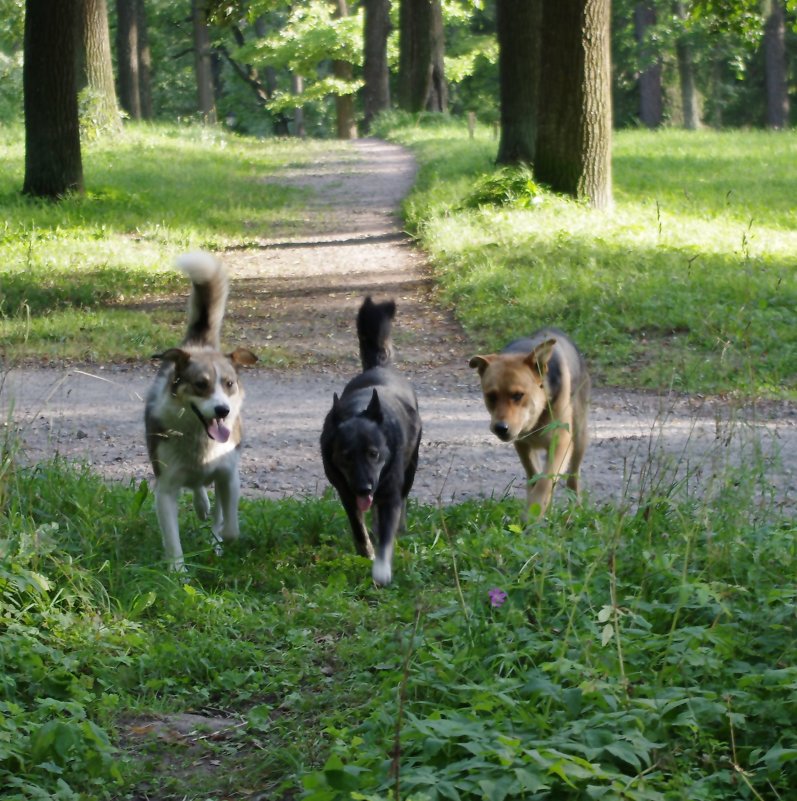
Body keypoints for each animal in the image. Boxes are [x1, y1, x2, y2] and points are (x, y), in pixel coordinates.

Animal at [143, 252, 255, 568]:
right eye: (200, 385)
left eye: (228, 384)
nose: (222, 411)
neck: (200, 441)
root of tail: (198, 345)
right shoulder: (165, 488)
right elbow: (173, 543)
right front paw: (178, 572)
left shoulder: (229, 476)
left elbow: (229, 526)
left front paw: (220, 541)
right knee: (197, 488)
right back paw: (201, 503)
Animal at [322, 296, 426, 584]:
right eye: (346, 456)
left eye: (374, 453)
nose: (365, 488)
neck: (358, 411)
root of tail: (379, 367)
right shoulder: (345, 491)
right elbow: (358, 527)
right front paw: (365, 551)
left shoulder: (388, 492)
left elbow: (387, 535)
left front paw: (381, 568)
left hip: (411, 466)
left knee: (402, 500)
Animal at [466, 328, 592, 516]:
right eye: (491, 396)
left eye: (518, 395)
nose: (500, 428)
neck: (537, 417)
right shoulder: (522, 444)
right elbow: (535, 476)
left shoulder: (561, 442)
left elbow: (545, 481)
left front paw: (533, 513)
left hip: (579, 437)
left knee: (573, 476)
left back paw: (575, 508)